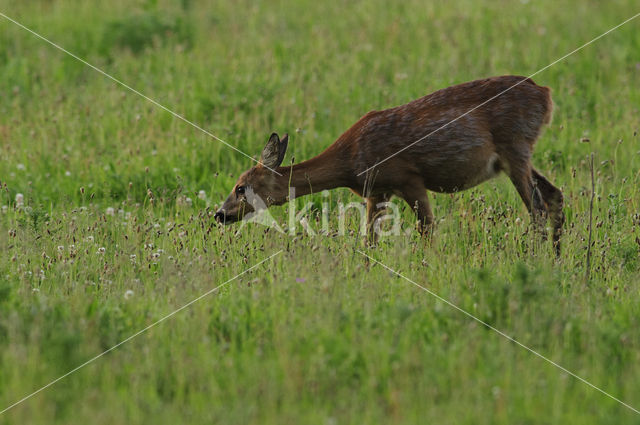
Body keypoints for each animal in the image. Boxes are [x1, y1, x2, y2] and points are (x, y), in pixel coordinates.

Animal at [215, 75, 564, 253]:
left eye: (240, 187)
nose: (218, 214)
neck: (348, 160)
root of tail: (546, 95)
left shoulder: (408, 178)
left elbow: (428, 229)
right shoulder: (377, 190)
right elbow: (368, 240)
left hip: (515, 146)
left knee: (536, 207)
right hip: (518, 155)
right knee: (554, 195)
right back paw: (555, 259)